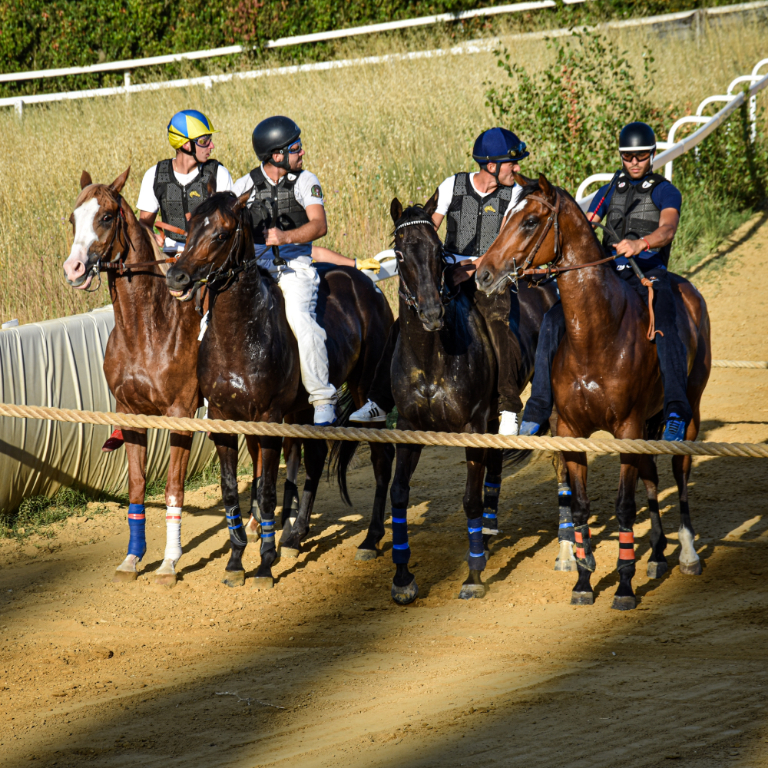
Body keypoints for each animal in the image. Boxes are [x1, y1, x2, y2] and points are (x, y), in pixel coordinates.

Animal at [62, 170, 260, 588]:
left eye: (106, 217)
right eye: (73, 219)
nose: (74, 268)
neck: (147, 328)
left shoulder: (180, 413)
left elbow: (173, 489)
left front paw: (169, 562)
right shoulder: (129, 413)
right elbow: (137, 486)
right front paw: (133, 557)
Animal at [167, 189, 396, 592]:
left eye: (221, 234)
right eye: (190, 227)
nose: (176, 276)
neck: (240, 335)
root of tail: (366, 282)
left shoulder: (269, 419)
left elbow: (267, 490)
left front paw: (264, 564)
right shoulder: (224, 422)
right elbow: (232, 490)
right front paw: (236, 561)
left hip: (365, 389)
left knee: (381, 459)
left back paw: (370, 539)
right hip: (302, 409)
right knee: (314, 459)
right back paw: (296, 535)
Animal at [384, 198, 560, 608]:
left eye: (438, 252)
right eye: (400, 254)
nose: (432, 313)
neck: (431, 357)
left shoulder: (472, 426)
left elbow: (469, 500)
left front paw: (474, 575)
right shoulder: (410, 429)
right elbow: (398, 495)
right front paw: (402, 578)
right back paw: (491, 529)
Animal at [476, 176, 712, 612]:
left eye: (530, 221)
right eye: (506, 216)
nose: (484, 274)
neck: (597, 334)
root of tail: (690, 291)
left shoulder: (627, 429)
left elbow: (623, 507)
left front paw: (623, 586)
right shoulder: (572, 432)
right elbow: (582, 506)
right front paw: (584, 579)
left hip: (688, 410)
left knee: (680, 473)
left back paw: (687, 554)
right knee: (653, 478)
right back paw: (657, 554)